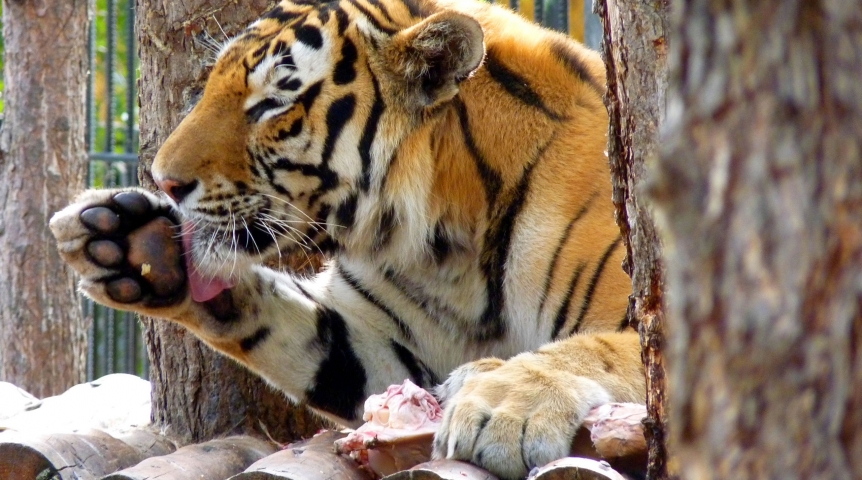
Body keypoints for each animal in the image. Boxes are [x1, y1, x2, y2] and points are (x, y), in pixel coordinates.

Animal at [50, 0, 645, 478]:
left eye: (272, 103)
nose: (163, 179)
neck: (445, 249)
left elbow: (593, 350)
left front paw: (504, 408)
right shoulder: (391, 351)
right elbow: (286, 325)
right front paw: (130, 242)